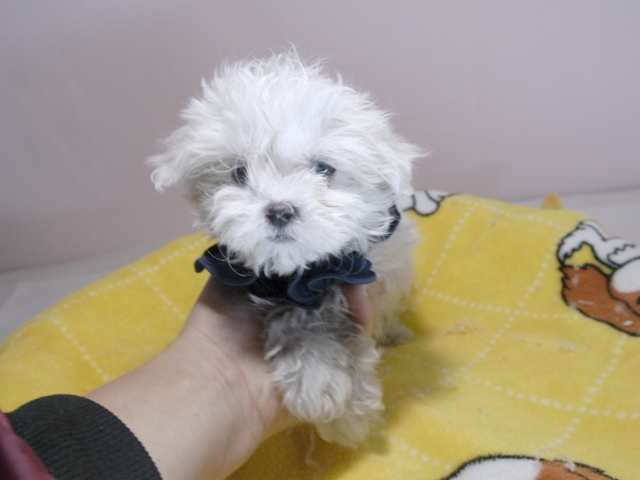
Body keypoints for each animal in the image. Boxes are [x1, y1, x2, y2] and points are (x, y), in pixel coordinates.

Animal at [148, 50, 422, 446]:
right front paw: (325, 389)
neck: (301, 274)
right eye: (239, 173)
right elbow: (296, 320)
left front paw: (347, 407)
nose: (280, 210)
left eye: (324, 168)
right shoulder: (271, 287)